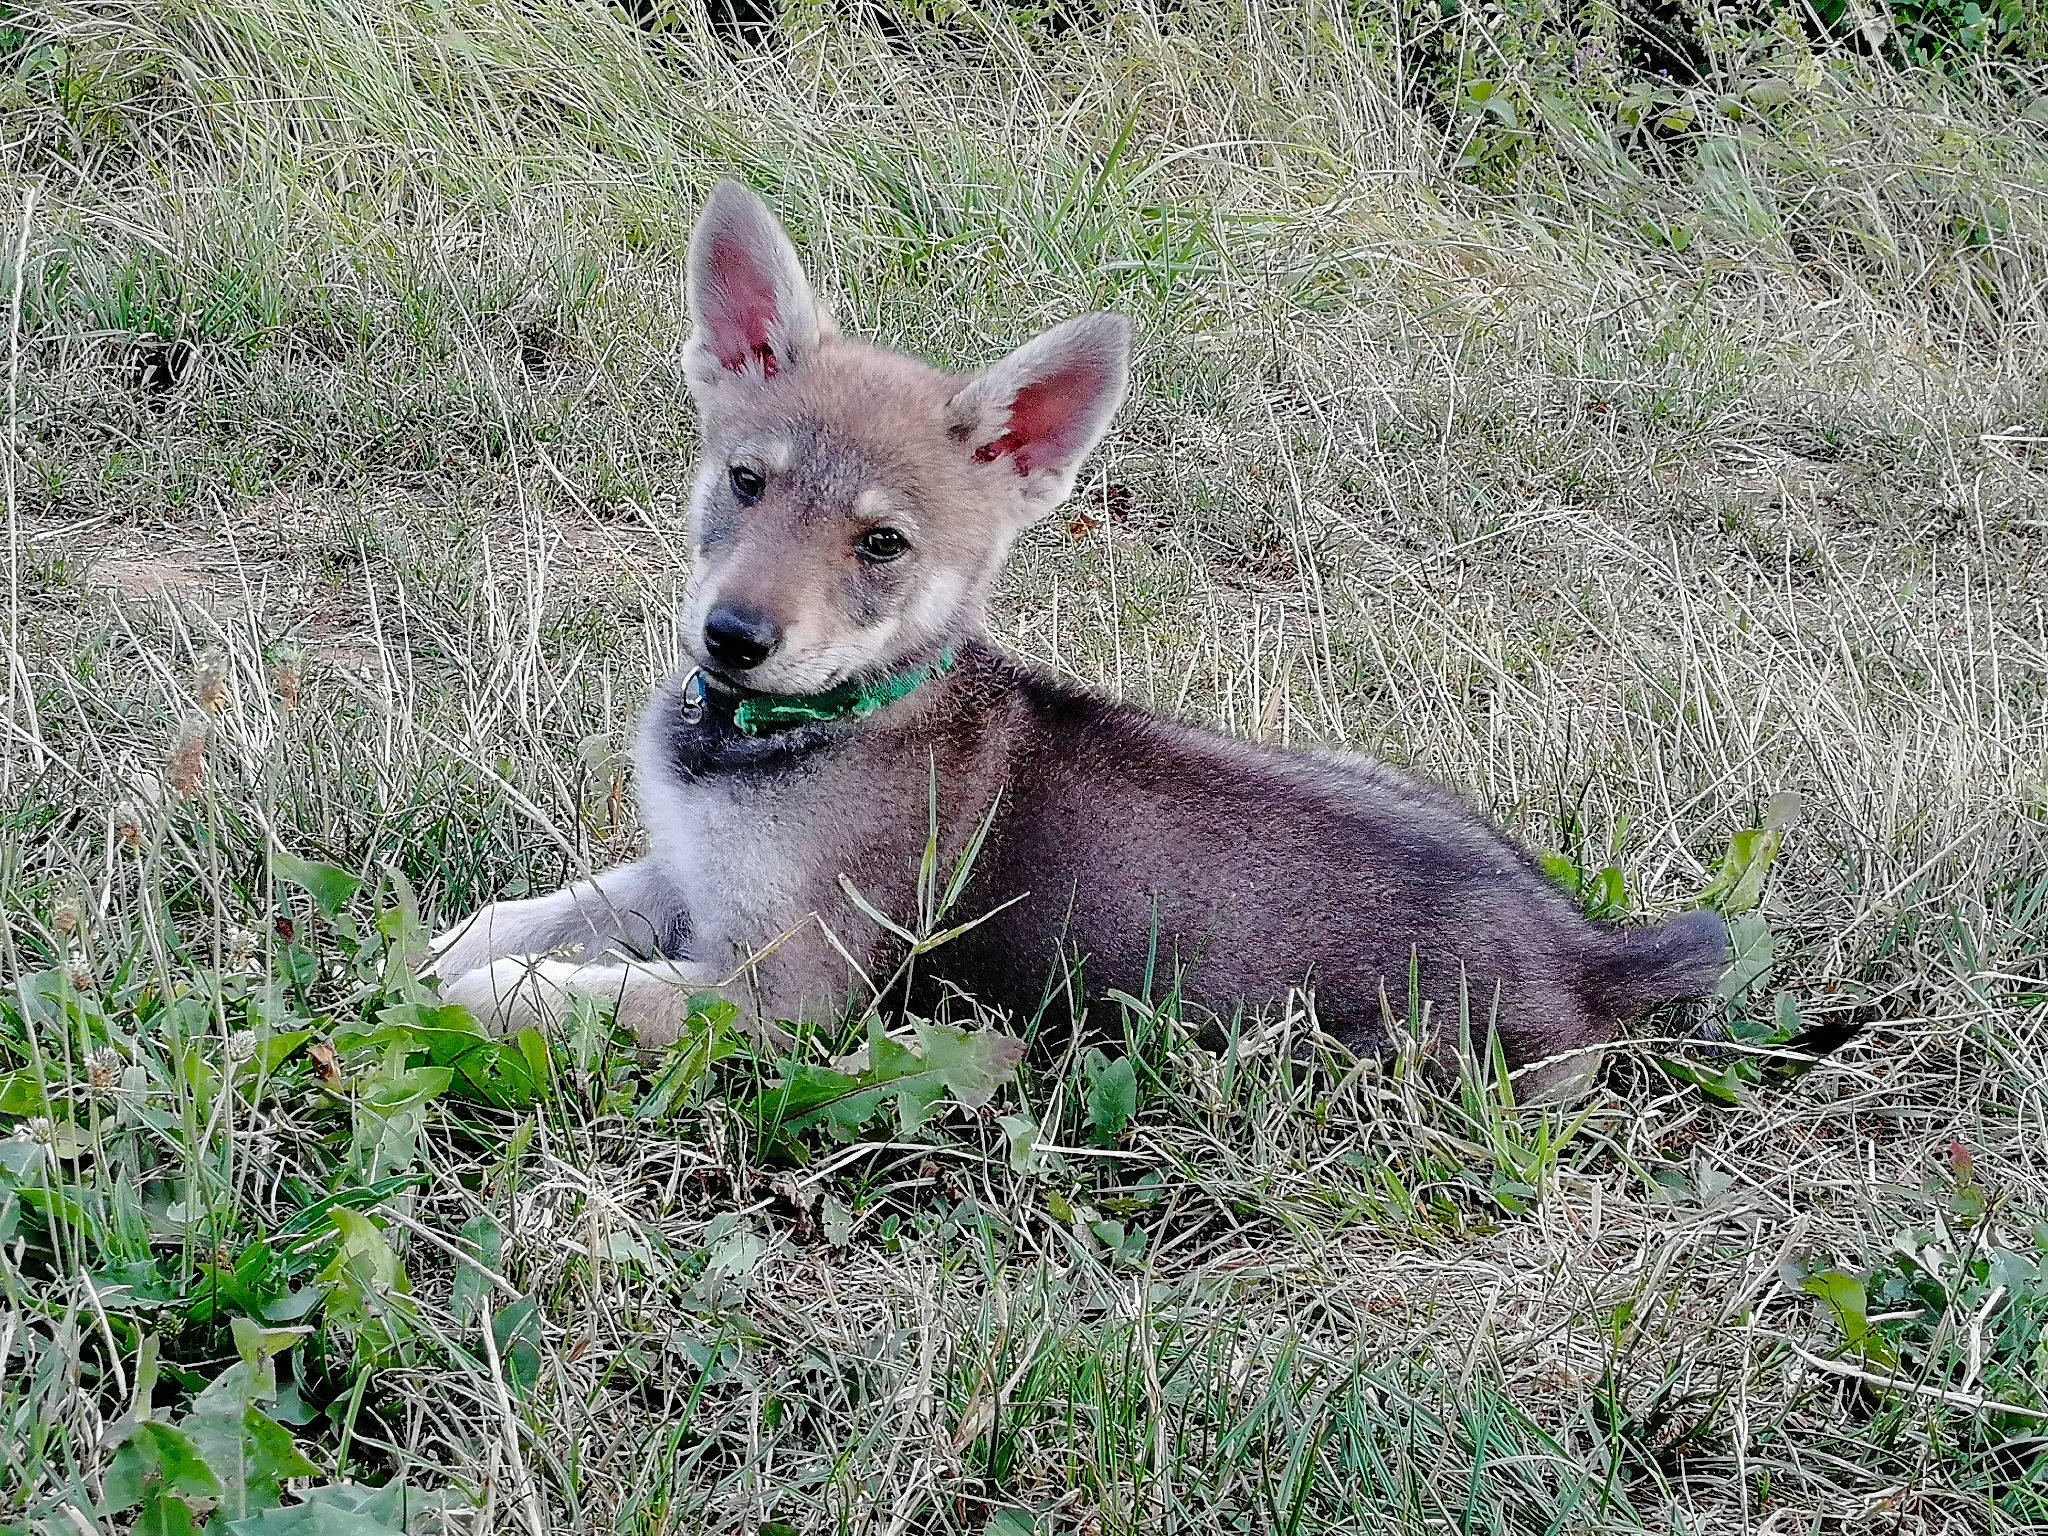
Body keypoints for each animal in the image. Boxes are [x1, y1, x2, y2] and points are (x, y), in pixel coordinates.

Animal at [430, 179, 1730, 1090]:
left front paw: (472, 994)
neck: (778, 735)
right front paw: (441, 947)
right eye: (746, 482)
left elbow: (579, 991)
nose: (734, 637)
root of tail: (1584, 957)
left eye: (882, 545)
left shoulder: (780, 992)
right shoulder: (687, 875)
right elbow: (537, 915)